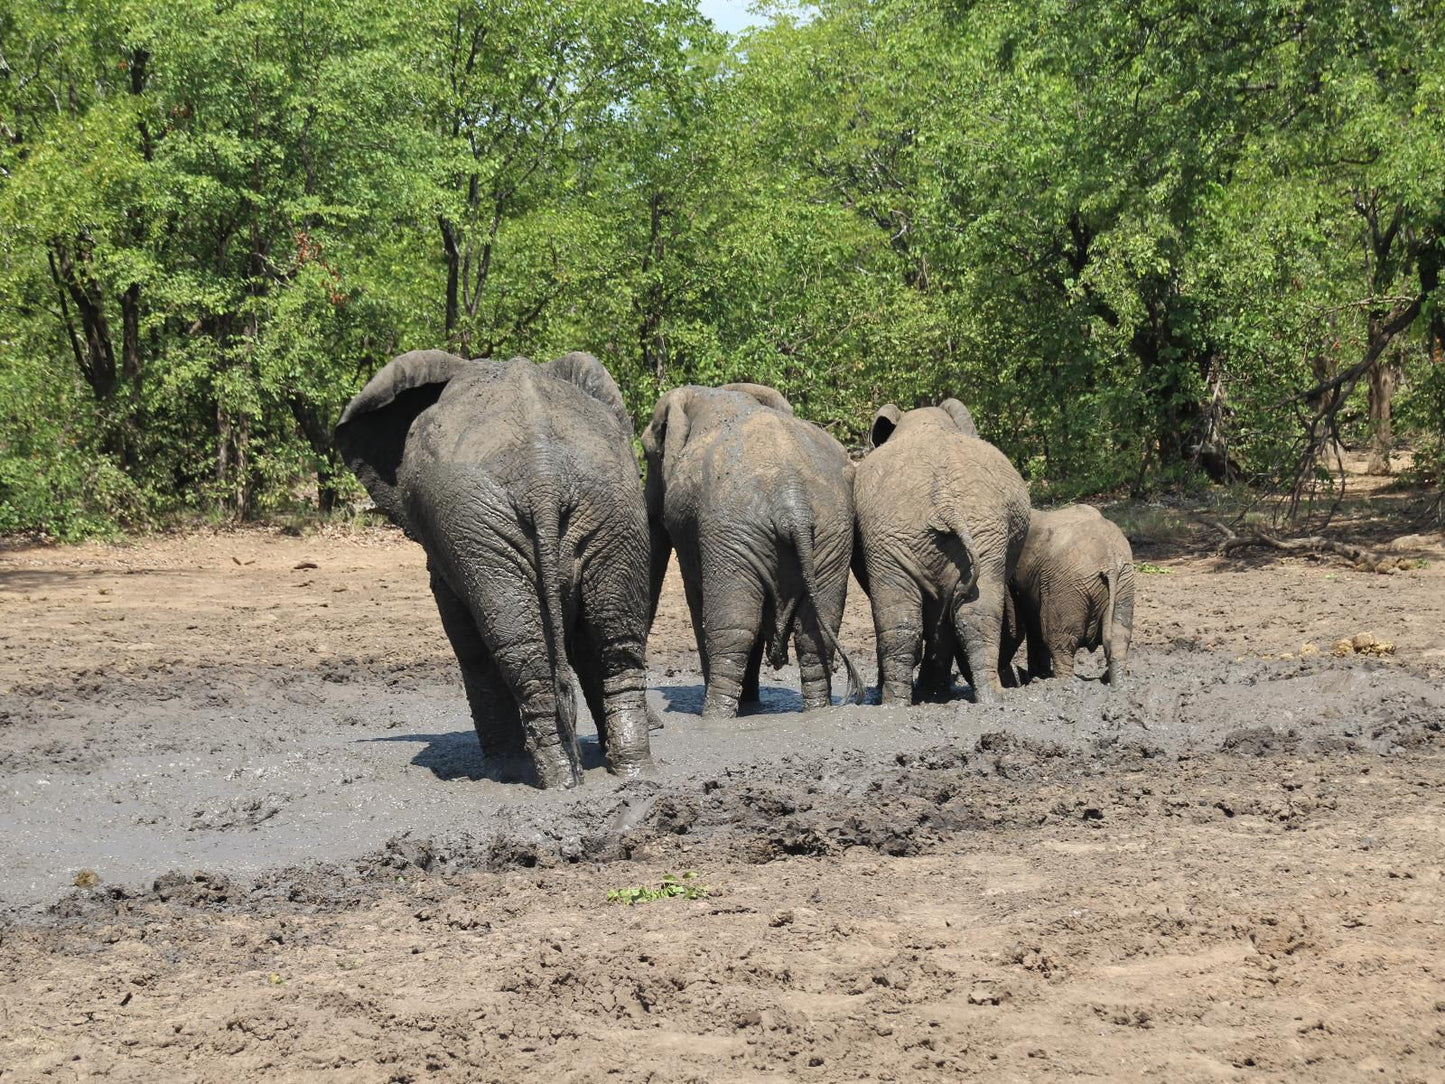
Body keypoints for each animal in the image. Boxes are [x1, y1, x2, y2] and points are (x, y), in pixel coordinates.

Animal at [332, 348, 656, 792]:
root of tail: (542, 476)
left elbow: (468, 643)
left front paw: (504, 769)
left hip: (481, 527)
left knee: (520, 654)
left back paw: (547, 780)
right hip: (612, 508)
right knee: (615, 643)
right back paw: (632, 771)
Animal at [641, 384, 855, 722]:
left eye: (647, 453)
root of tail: (793, 503)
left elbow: (697, 596)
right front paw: (751, 701)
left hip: (734, 531)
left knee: (733, 626)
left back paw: (715, 717)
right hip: (831, 529)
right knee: (815, 630)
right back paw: (817, 711)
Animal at [999, 508, 1132, 687]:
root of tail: (1110, 560)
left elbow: (1012, 630)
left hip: (1066, 584)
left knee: (1058, 638)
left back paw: (1060, 681)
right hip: (1123, 580)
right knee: (1119, 635)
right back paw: (1119, 682)